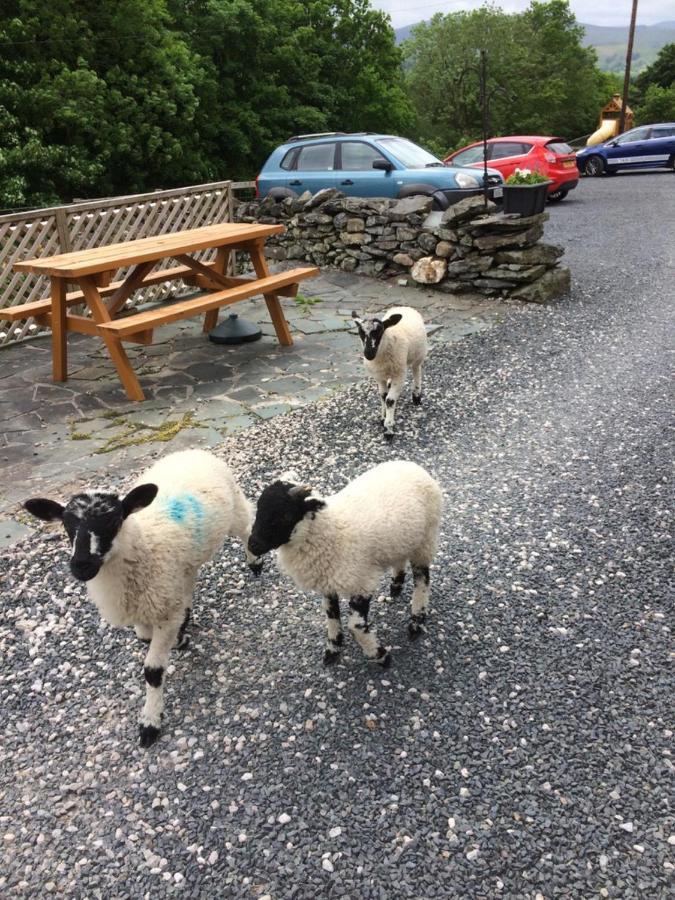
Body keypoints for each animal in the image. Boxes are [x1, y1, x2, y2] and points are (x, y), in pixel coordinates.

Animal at [23, 446, 262, 748]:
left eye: (114, 521)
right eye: (67, 526)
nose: (81, 566)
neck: (144, 544)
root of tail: (191, 451)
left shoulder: (164, 610)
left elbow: (153, 671)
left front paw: (150, 722)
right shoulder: (151, 605)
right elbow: (146, 636)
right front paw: (180, 637)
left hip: (235, 508)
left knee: (247, 527)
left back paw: (255, 563)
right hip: (185, 563)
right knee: (190, 579)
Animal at [248, 460, 444, 664]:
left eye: (284, 515)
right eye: (258, 509)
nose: (252, 545)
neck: (329, 529)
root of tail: (411, 465)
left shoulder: (362, 583)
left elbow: (355, 626)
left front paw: (381, 656)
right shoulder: (327, 583)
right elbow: (332, 616)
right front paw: (333, 648)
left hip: (425, 540)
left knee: (422, 579)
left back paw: (416, 621)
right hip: (402, 541)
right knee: (400, 560)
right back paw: (396, 585)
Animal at [352, 306, 430, 440]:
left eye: (380, 331)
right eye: (360, 332)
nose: (368, 354)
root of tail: (404, 307)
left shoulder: (399, 375)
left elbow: (389, 400)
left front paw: (388, 428)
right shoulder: (379, 377)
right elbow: (383, 396)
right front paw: (383, 418)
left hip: (418, 355)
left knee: (416, 371)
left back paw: (416, 396)